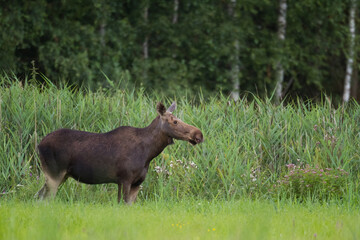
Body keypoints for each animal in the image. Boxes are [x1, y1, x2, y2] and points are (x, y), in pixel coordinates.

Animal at [37, 101, 204, 204]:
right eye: (175, 121)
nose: (199, 134)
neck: (148, 153)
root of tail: (39, 145)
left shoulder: (137, 182)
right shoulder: (125, 179)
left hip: (62, 175)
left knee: (39, 196)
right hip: (54, 173)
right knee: (44, 199)